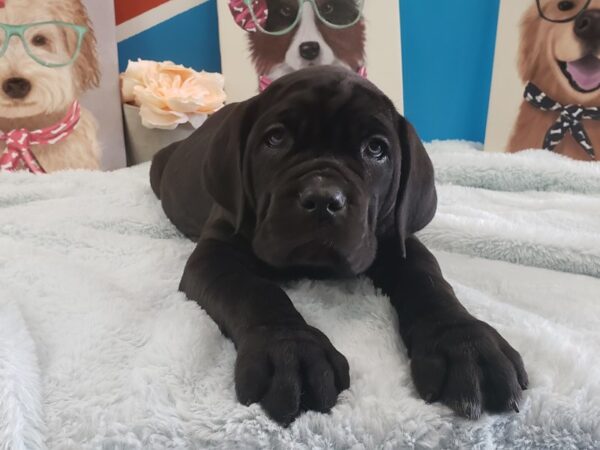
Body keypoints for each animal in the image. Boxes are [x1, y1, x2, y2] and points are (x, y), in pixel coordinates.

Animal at [151, 66, 528, 426]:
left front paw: (465, 344)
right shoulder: (216, 253)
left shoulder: (398, 241)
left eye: (376, 149)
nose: (322, 199)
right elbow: (254, 291)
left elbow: (430, 283)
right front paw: (289, 349)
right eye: (275, 138)